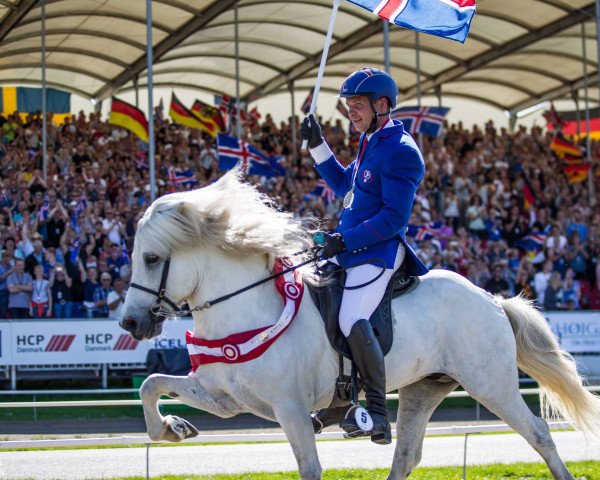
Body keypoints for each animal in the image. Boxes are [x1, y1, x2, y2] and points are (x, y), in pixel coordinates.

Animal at [120, 171, 600, 478]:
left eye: (152, 258)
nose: (130, 322)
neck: (247, 309)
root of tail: (491, 299)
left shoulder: (290, 410)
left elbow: (310, 469)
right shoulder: (225, 399)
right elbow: (152, 385)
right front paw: (171, 428)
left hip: (491, 384)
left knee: (538, 434)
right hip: (423, 389)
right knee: (406, 456)